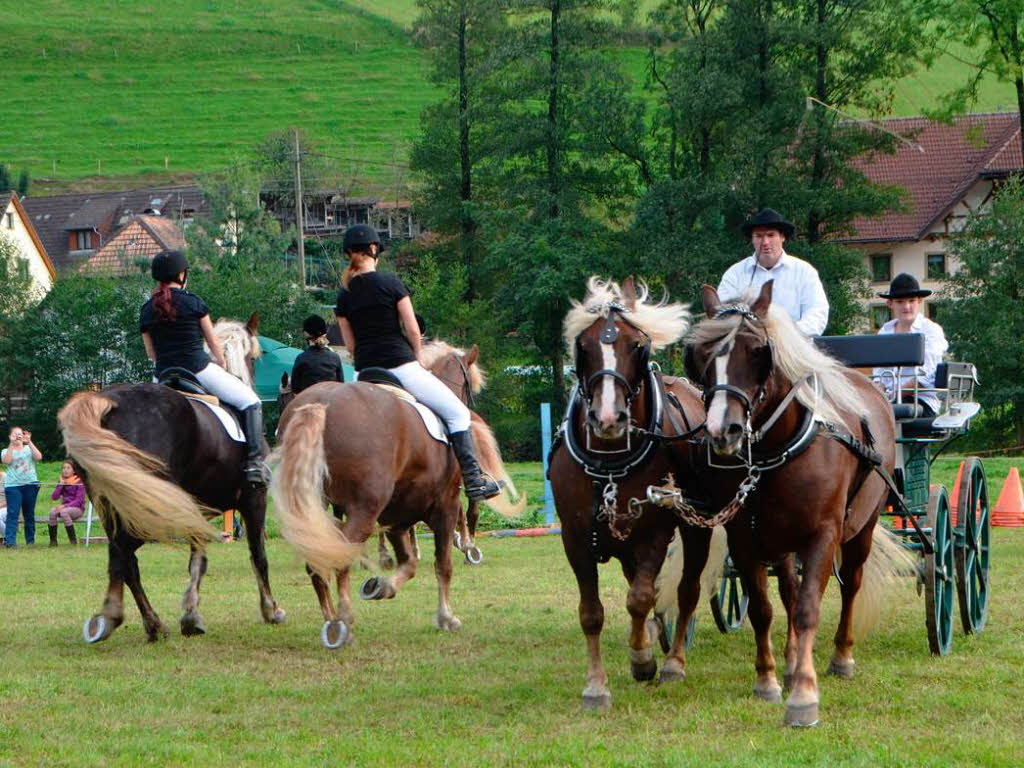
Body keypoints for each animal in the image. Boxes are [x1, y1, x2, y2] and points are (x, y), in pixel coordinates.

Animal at [58, 311, 286, 643]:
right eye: (256, 356)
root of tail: (110, 402)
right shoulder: (254, 501)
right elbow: (259, 555)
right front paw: (271, 610)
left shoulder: (197, 509)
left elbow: (198, 561)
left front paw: (191, 617)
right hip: (148, 506)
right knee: (123, 552)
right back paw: (115, 616)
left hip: (117, 502)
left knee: (124, 558)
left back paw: (150, 624)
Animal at [270, 342, 520, 651]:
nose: (470, 413)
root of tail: (321, 403)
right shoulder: (443, 507)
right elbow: (443, 564)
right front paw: (446, 617)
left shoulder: (397, 517)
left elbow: (409, 563)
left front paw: (380, 586)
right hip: (366, 509)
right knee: (339, 555)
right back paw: (342, 621)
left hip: (318, 506)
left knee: (318, 560)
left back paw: (331, 621)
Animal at [548, 274, 716, 708]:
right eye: (583, 346)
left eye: (637, 345)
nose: (608, 419)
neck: (609, 460)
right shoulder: (575, 538)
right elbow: (591, 612)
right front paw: (596, 685)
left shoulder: (654, 533)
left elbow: (639, 598)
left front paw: (642, 661)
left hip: (696, 528)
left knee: (686, 591)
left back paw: (673, 662)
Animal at [663, 282, 913, 729]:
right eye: (702, 356)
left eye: (758, 351)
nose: (723, 431)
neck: (776, 450)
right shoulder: (745, 538)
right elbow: (764, 609)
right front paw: (768, 680)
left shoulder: (823, 535)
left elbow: (810, 608)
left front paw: (804, 695)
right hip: (779, 540)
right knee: (788, 590)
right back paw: (794, 657)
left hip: (861, 528)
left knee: (850, 585)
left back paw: (840, 656)